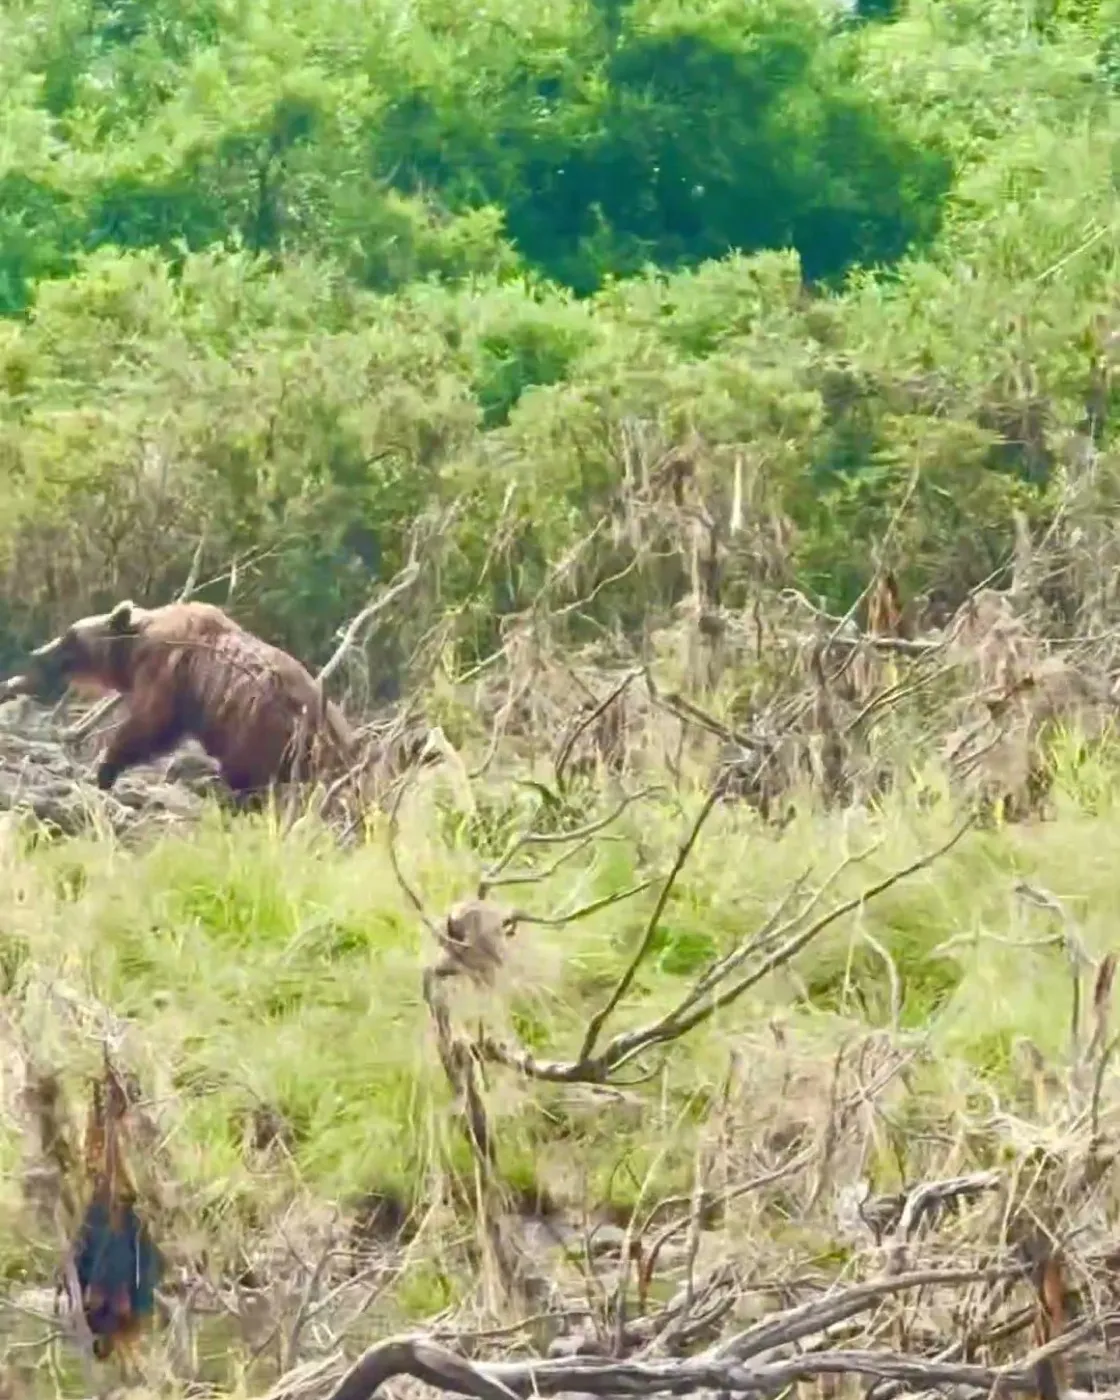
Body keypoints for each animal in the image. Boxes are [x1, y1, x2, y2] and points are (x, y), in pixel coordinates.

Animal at [2, 599, 357, 805]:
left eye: (70, 636)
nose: (39, 652)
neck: (132, 653)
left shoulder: (169, 675)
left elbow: (149, 726)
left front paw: (105, 770)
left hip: (265, 730)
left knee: (247, 776)